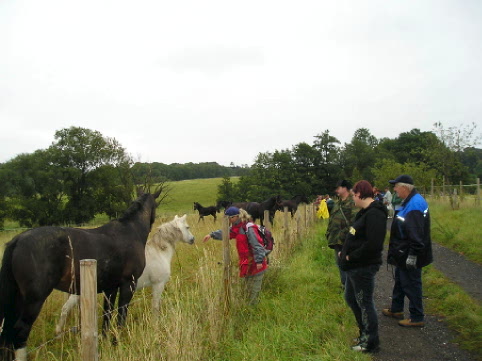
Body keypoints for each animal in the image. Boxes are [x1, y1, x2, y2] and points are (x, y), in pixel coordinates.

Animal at [0, 190, 162, 358]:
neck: (130, 230)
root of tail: (17, 240)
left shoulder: (110, 288)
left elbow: (107, 315)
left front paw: (105, 342)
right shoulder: (128, 284)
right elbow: (121, 315)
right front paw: (116, 342)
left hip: (17, 298)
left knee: (7, 332)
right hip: (34, 300)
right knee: (20, 331)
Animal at [54, 212, 194, 334]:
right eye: (187, 227)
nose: (193, 239)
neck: (158, 251)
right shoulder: (158, 284)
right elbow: (155, 307)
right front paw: (155, 325)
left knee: (66, 309)